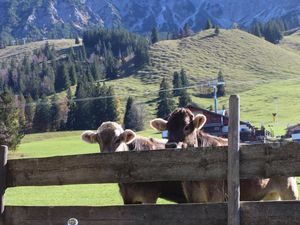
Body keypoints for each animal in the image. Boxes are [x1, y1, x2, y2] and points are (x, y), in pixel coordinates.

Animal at [150, 108, 298, 203]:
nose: (171, 145)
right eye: (167, 128)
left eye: (186, 127)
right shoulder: (193, 198)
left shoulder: (216, 196)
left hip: (289, 189)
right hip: (271, 195)